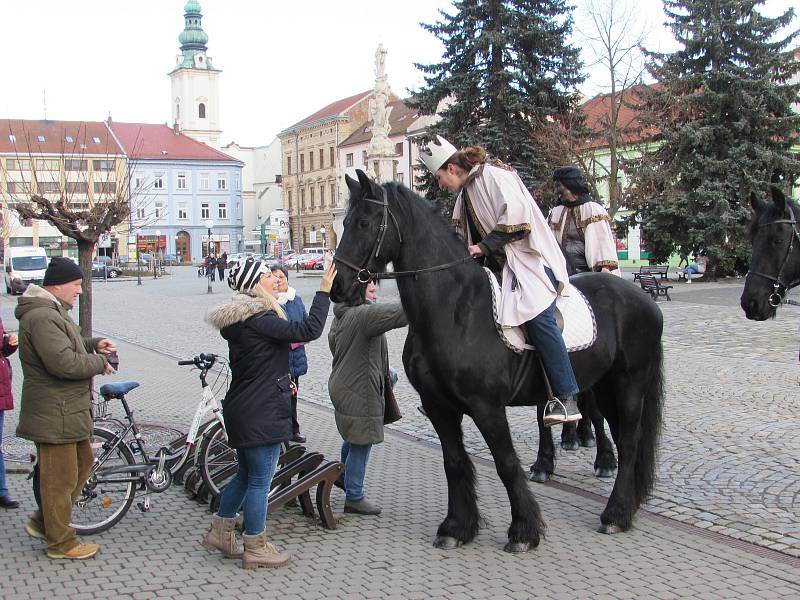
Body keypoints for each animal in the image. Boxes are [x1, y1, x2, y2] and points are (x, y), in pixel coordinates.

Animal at [328, 170, 664, 552]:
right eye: (343, 223)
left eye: (364, 223)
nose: (338, 287)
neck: (456, 310)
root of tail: (644, 299)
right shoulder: (439, 406)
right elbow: (454, 462)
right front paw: (457, 527)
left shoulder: (487, 407)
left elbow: (505, 463)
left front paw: (524, 531)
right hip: (607, 387)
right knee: (622, 438)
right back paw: (625, 506)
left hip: (629, 384)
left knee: (629, 442)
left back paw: (615, 514)